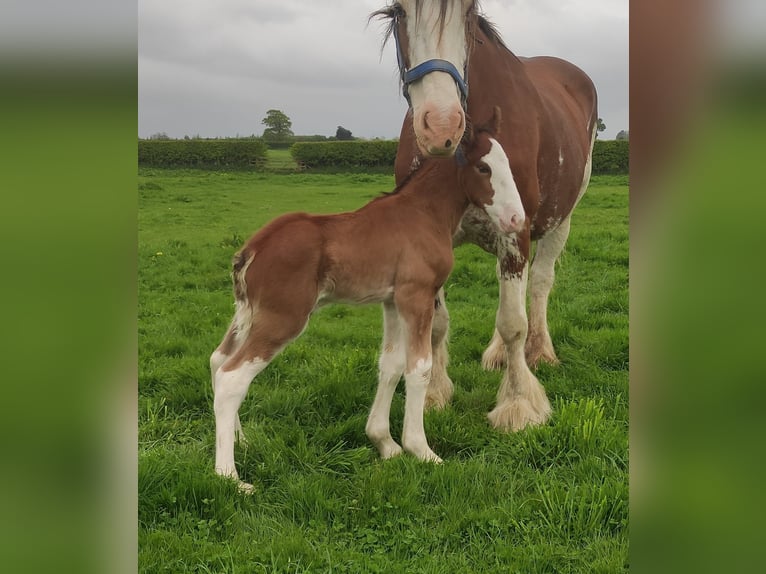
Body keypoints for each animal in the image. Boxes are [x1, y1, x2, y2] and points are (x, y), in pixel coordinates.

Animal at [210, 111, 524, 490]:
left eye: (507, 163)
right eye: (483, 168)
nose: (516, 219)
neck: (423, 213)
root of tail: (252, 249)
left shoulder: (391, 301)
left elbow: (390, 364)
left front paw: (384, 443)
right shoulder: (416, 296)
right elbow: (419, 368)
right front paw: (422, 450)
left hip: (246, 313)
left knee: (217, 360)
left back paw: (240, 439)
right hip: (283, 317)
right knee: (232, 377)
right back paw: (229, 476)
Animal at [372, 0, 600, 432]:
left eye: (467, 13)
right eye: (399, 12)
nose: (442, 125)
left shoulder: (517, 231)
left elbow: (514, 323)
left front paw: (518, 403)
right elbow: (437, 323)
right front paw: (433, 393)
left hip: (561, 219)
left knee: (539, 284)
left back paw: (540, 351)